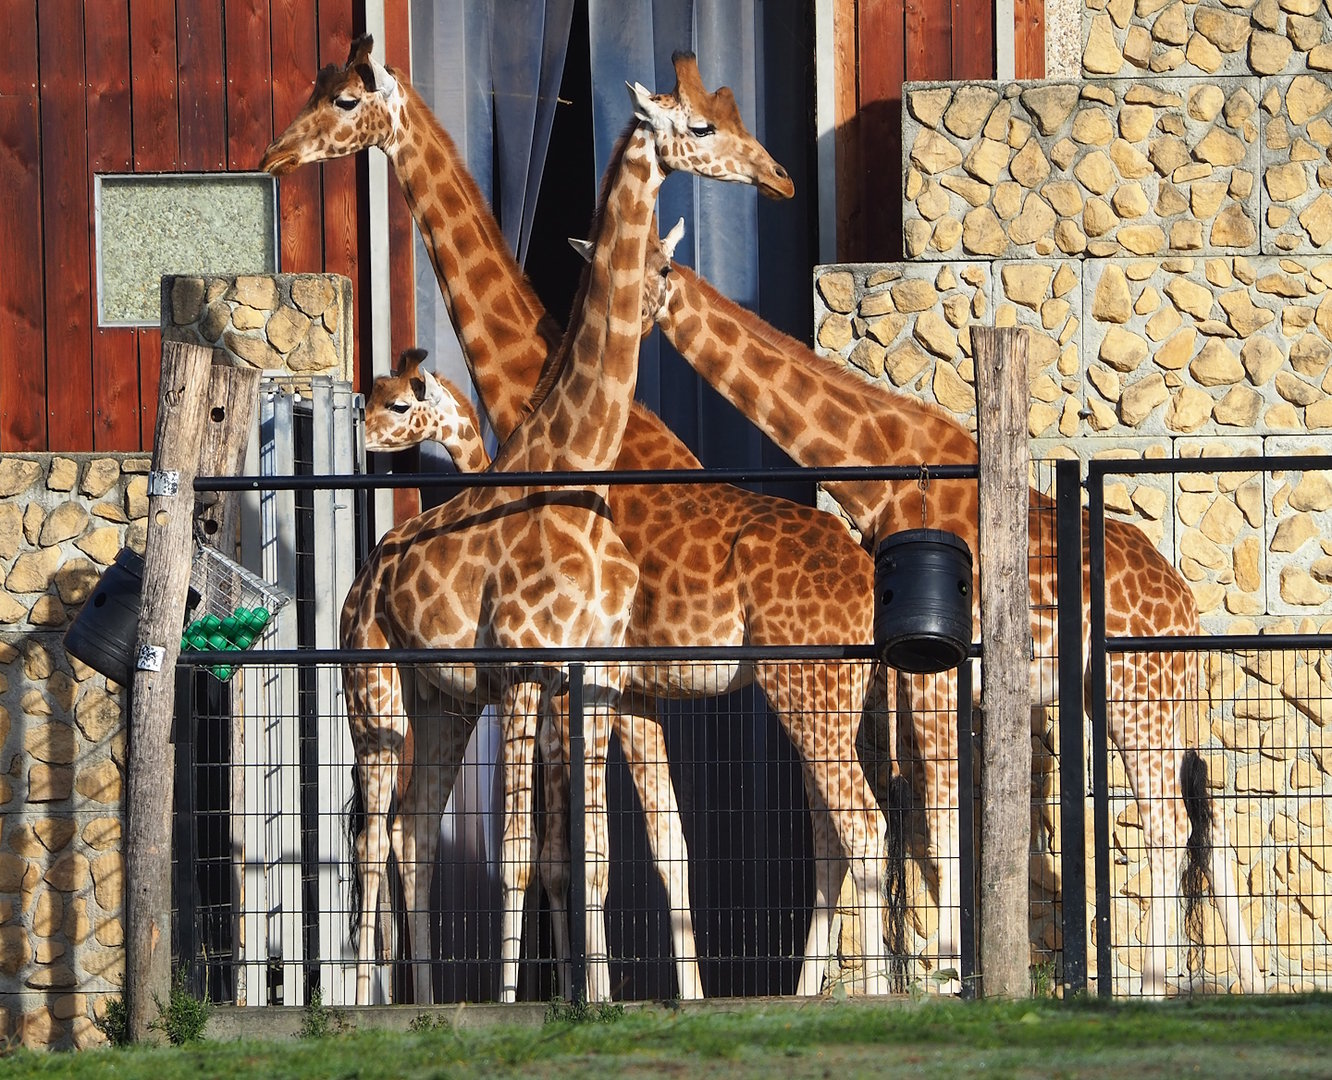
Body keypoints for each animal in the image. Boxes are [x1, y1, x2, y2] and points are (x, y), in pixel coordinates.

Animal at [263, 38, 893, 999]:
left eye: (340, 100)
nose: (273, 155)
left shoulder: (592, 680)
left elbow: (583, 851)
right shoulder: (600, 686)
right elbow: (623, 851)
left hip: (808, 688)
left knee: (862, 826)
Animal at [640, 255, 1265, 998]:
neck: (878, 474)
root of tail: (1182, 600)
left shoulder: (935, 671)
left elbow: (939, 826)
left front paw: (943, 970)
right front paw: (942, 965)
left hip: (1135, 693)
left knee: (1167, 821)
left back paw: (1150, 982)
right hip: (1159, 695)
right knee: (1206, 812)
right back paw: (1243, 976)